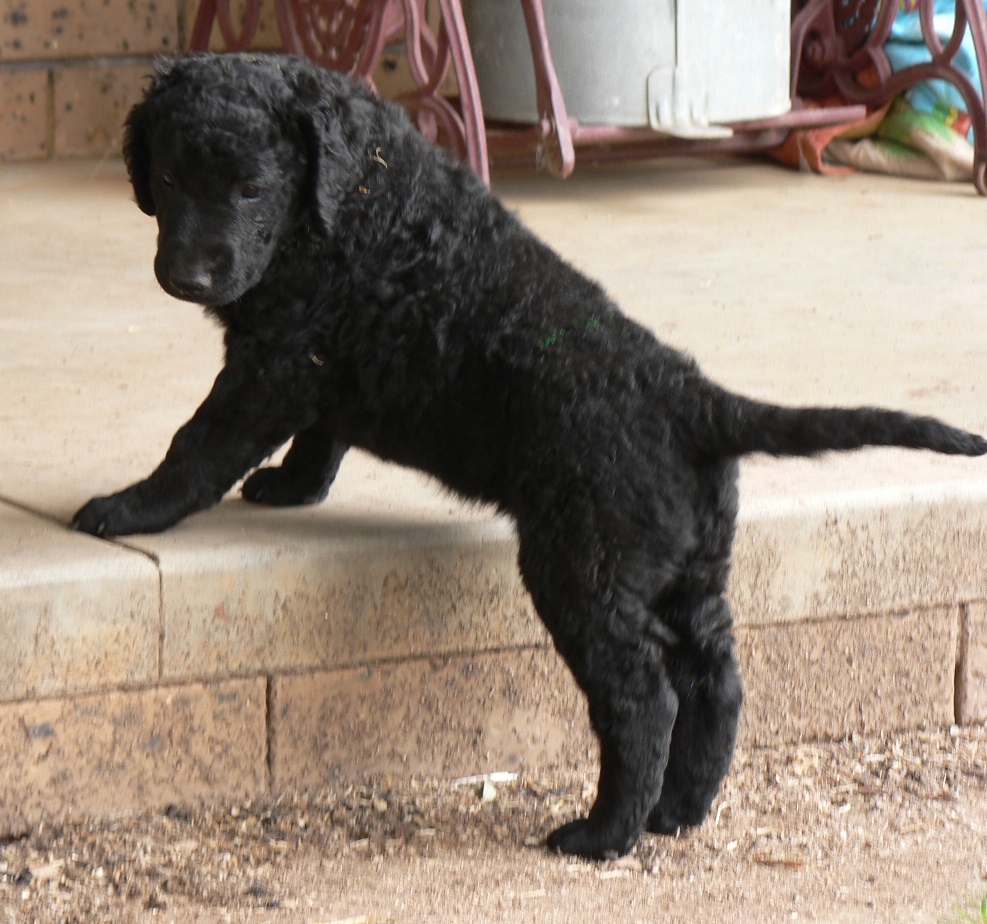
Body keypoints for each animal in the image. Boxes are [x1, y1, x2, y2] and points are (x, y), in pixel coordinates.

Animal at [71, 50, 987, 860]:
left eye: (250, 189)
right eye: (169, 180)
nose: (187, 276)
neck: (351, 194)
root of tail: (694, 400)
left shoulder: (278, 357)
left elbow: (200, 443)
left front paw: (128, 508)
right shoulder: (321, 358)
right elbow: (321, 431)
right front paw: (293, 486)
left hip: (583, 567)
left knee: (642, 698)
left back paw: (604, 835)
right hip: (688, 567)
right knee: (716, 681)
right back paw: (680, 811)